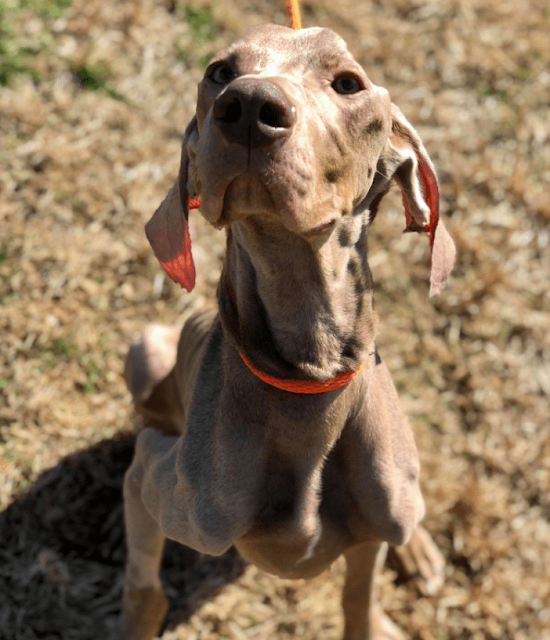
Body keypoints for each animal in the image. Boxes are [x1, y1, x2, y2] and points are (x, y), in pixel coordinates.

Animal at [118, 23, 454, 640]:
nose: (249, 107)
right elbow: (144, 588)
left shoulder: (372, 528)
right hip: (147, 352)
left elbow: (360, 599)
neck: (306, 375)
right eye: (220, 72)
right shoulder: (149, 477)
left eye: (348, 83)